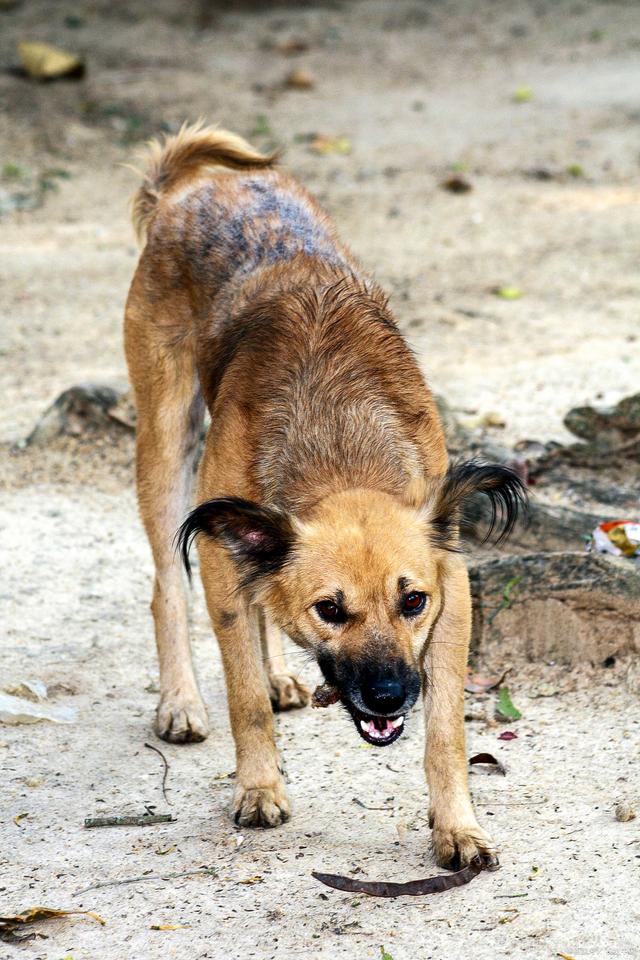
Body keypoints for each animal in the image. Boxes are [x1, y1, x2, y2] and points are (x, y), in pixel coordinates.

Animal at [124, 120, 524, 872]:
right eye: (330, 610)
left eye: (412, 601)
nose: (391, 696)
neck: (340, 450)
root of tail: (193, 190)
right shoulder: (219, 552)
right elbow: (243, 698)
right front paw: (259, 788)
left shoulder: (452, 588)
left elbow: (446, 734)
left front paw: (458, 827)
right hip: (165, 443)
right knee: (167, 586)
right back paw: (182, 702)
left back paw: (281, 675)